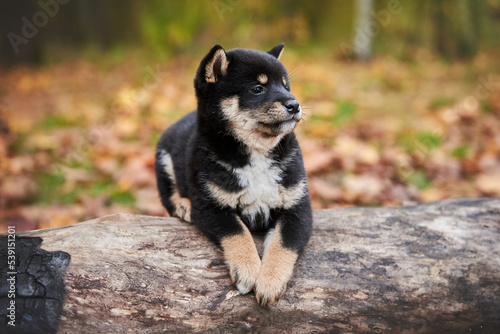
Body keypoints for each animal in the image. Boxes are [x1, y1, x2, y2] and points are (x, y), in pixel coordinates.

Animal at [156, 44, 312, 308]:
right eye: (257, 88)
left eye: (285, 86)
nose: (295, 105)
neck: (257, 152)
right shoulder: (211, 207)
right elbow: (238, 234)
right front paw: (248, 269)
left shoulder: (297, 207)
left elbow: (283, 244)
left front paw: (270, 281)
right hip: (163, 160)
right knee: (169, 197)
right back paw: (183, 206)